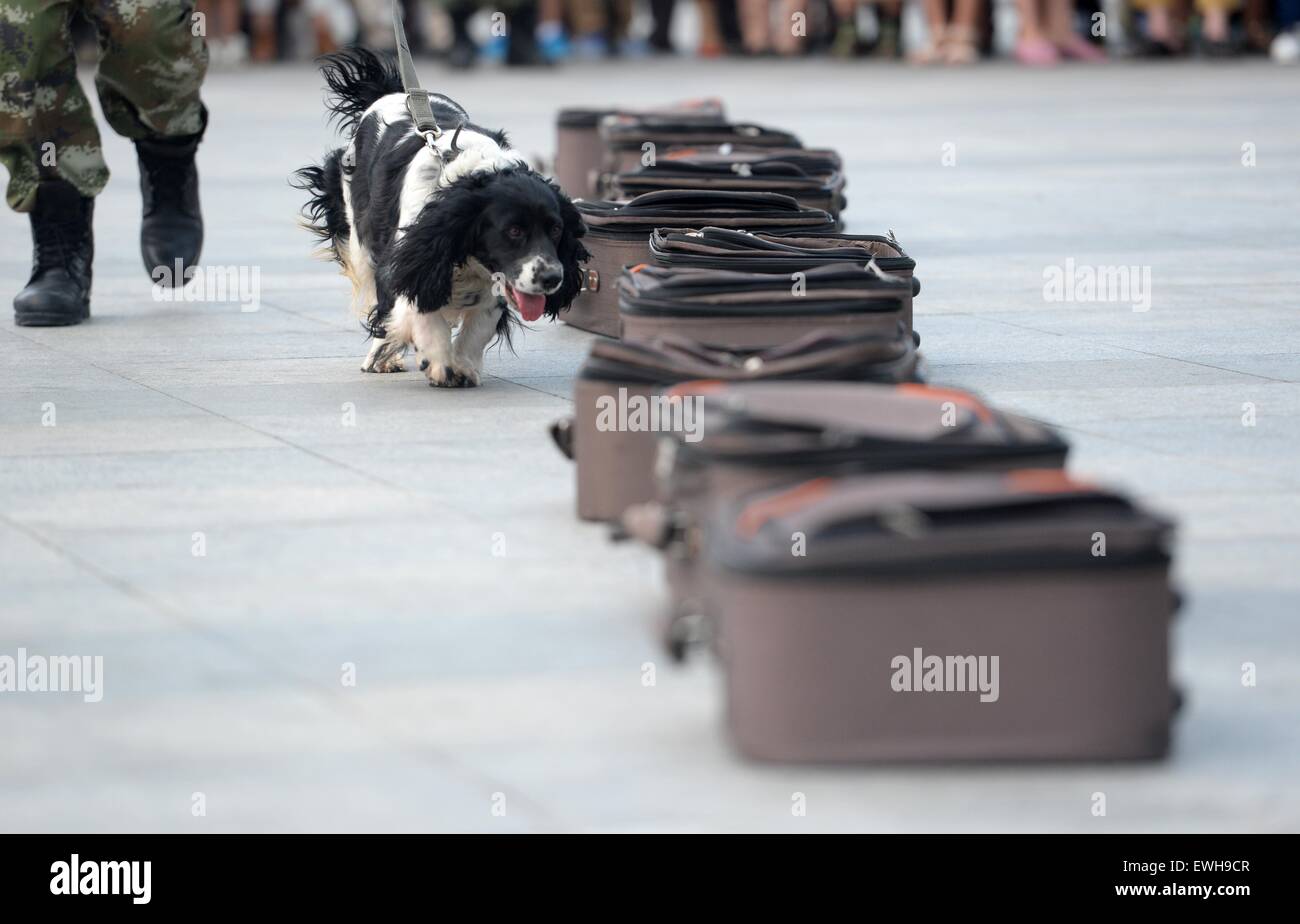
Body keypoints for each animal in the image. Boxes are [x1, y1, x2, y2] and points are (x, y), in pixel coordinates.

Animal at [295, 47, 590, 387]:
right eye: (513, 231)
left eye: (556, 230)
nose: (552, 278)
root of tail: (390, 93)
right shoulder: (409, 256)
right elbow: (417, 307)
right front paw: (438, 360)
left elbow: (481, 322)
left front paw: (463, 364)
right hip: (359, 238)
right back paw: (382, 356)